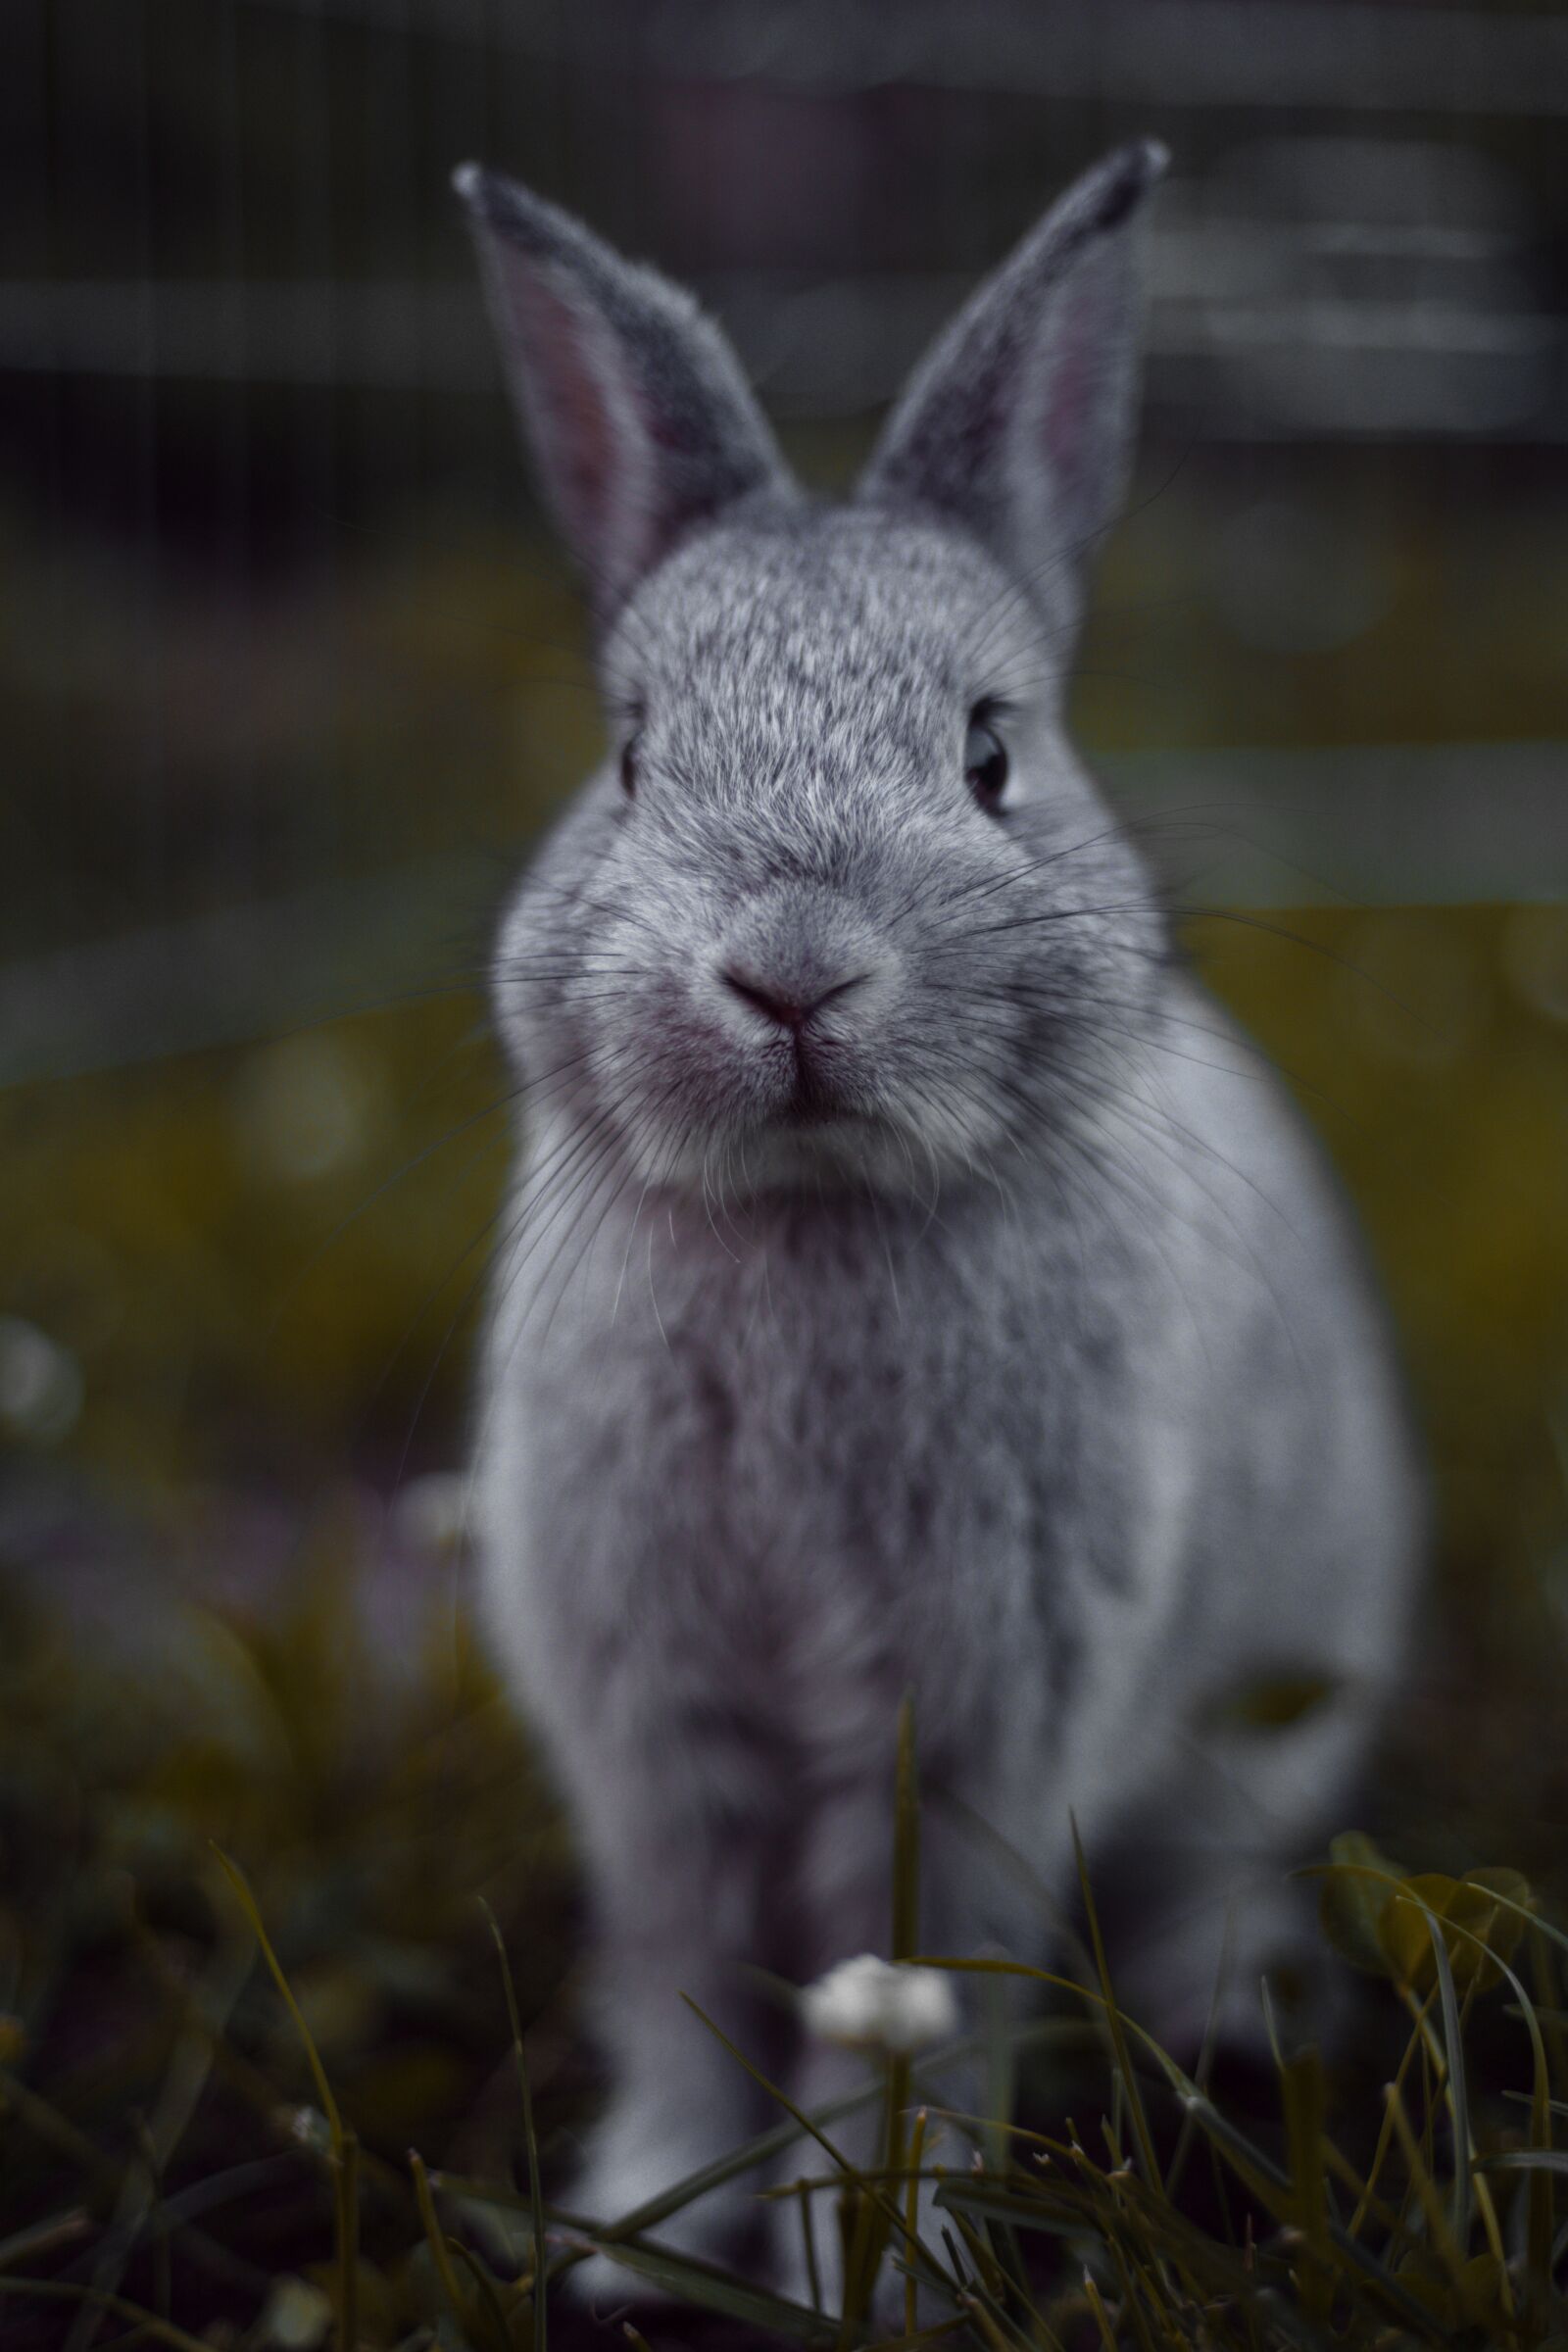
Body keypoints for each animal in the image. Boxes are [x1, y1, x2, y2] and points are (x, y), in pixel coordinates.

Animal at [453, 140, 1424, 2316]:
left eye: (991, 753)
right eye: (630, 755)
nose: (793, 974)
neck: (816, 1212)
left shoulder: (986, 1722)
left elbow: (913, 1999)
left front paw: (873, 2272)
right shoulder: (651, 1729)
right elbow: (682, 1978)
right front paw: (645, 2241)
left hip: (1263, 1719)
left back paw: (1231, 2010)